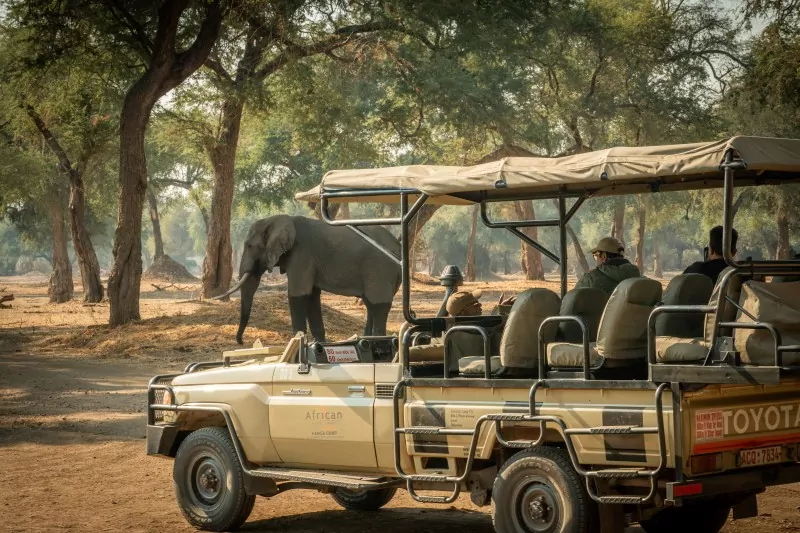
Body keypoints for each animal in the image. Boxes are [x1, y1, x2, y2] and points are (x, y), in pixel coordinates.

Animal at [216, 215, 402, 345]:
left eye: (249, 246)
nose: (241, 342)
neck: (277, 219)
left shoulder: (302, 254)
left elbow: (298, 295)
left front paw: (298, 343)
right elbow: (312, 296)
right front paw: (317, 345)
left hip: (380, 269)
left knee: (378, 306)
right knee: (371, 305)